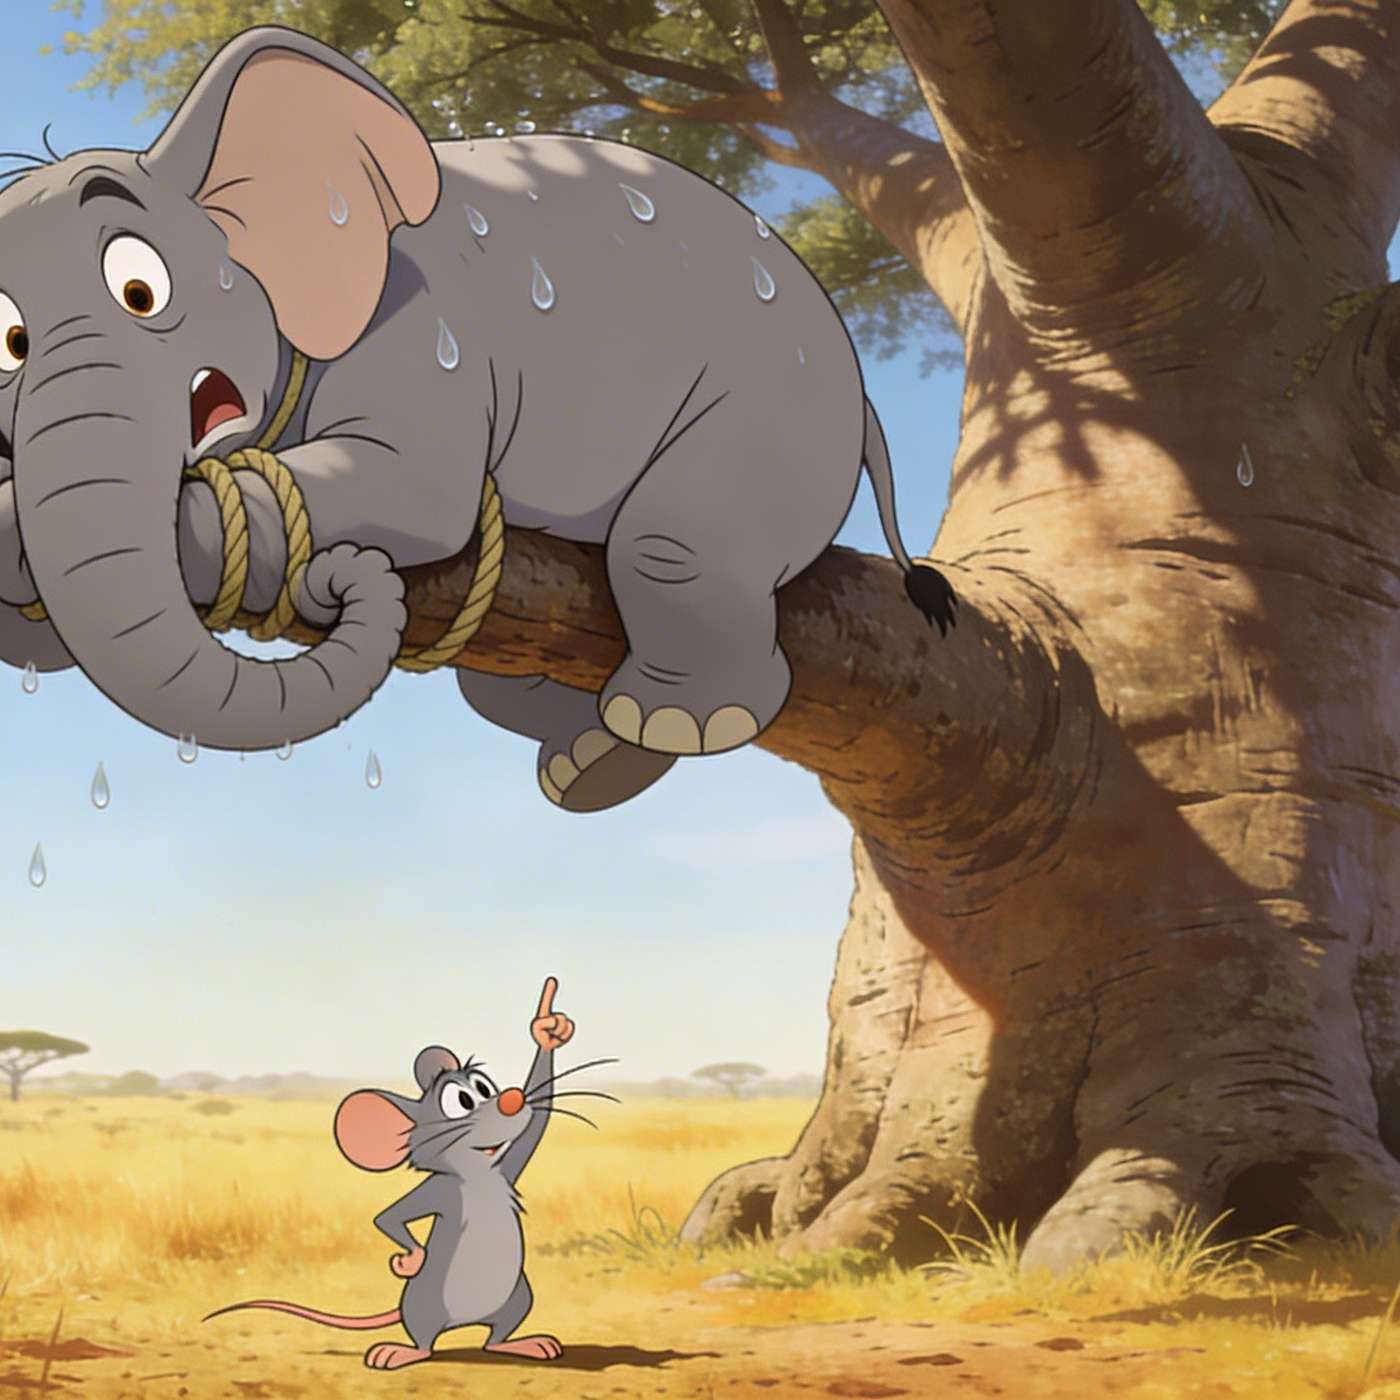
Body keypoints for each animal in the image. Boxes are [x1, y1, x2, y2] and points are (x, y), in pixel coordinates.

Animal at [0, 25, 954, 811]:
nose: (343, 584)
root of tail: (860, 394)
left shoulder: (425, 335)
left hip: (774, 410)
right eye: (9, 342)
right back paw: (595, 764)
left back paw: (675, 723)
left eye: (141, 289)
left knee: (671, 545)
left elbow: (416, 492)